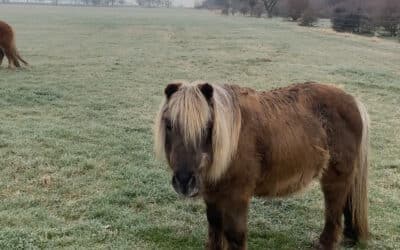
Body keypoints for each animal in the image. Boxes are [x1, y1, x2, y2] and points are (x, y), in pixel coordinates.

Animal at [155, 81, 370, 249]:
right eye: (169, 125)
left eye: (208, 127)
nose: (184, 181)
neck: (232, 140)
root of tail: (353, 100)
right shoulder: (213, 196)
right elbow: (215, 229)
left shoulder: (237, 197)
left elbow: (235, 235)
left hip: (335, 179)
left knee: (333, 213)